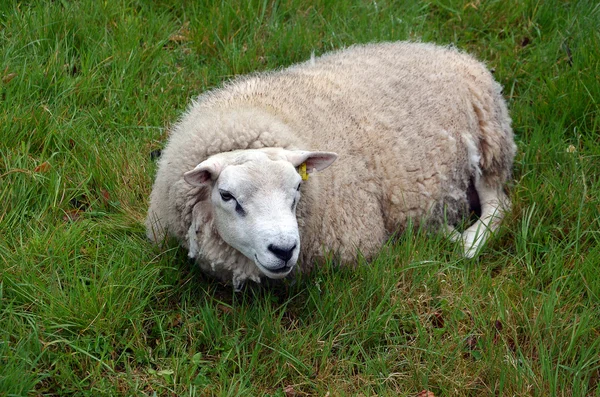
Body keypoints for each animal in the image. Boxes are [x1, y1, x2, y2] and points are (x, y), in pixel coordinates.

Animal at [145, 41, 516, 288]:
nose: (284, 249)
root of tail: (448, 51)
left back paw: (466, 242)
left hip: (490, 141)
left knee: (499, 205)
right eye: (226, 196)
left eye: (298, 187)